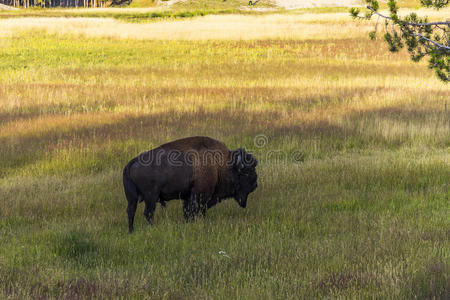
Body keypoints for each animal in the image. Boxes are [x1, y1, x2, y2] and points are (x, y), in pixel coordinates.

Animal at [122, 136, 256, 232]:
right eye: (246, 172)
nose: (255, 184)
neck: (220, 165)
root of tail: (132, 162)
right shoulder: (200, 195)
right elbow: (194, 210)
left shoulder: (189, 196)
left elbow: (188, 211)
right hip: (151, 196)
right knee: (148, 212)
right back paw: (152, 228)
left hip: (132, 198)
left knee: (131, 211)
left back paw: (131, 231)